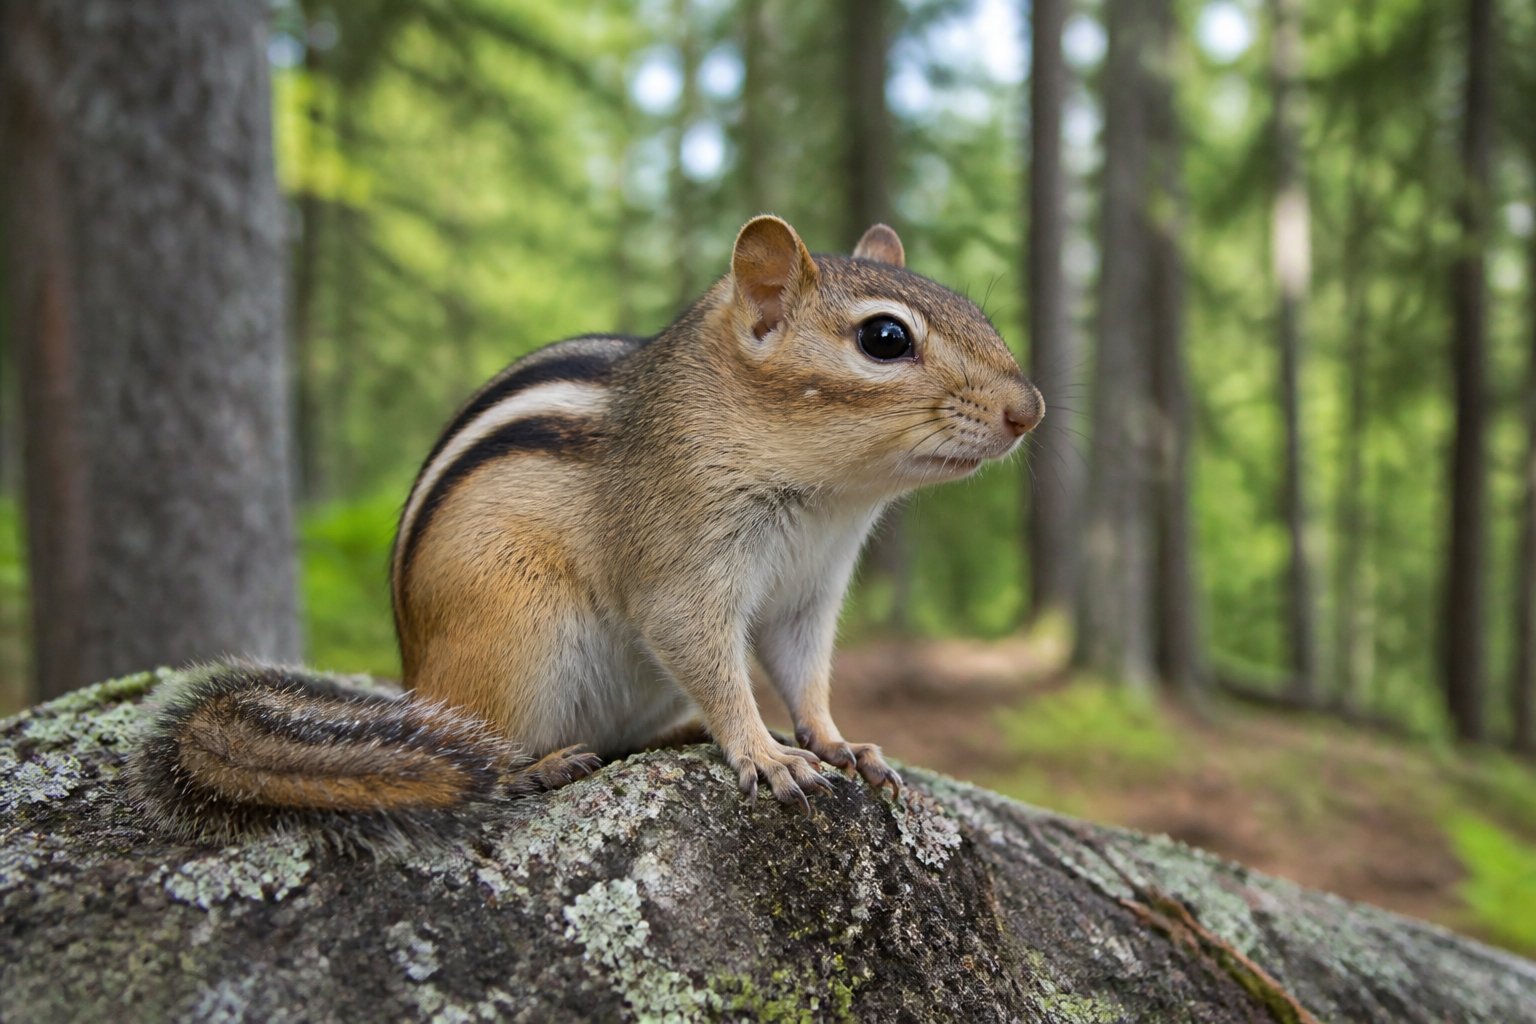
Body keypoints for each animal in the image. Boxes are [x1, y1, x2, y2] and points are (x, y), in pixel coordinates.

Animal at [128, 215, 1043, 848]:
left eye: (976, 311)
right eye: (885, 338)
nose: (1028, 409)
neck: (829, 499)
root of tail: (416, 692)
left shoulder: (809, 594)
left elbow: (805, 674)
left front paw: (837, 742)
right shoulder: (681, 565)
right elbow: (714, 663)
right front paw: (763, 752)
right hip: (514, 634)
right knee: (473, 761)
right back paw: (538, 766)